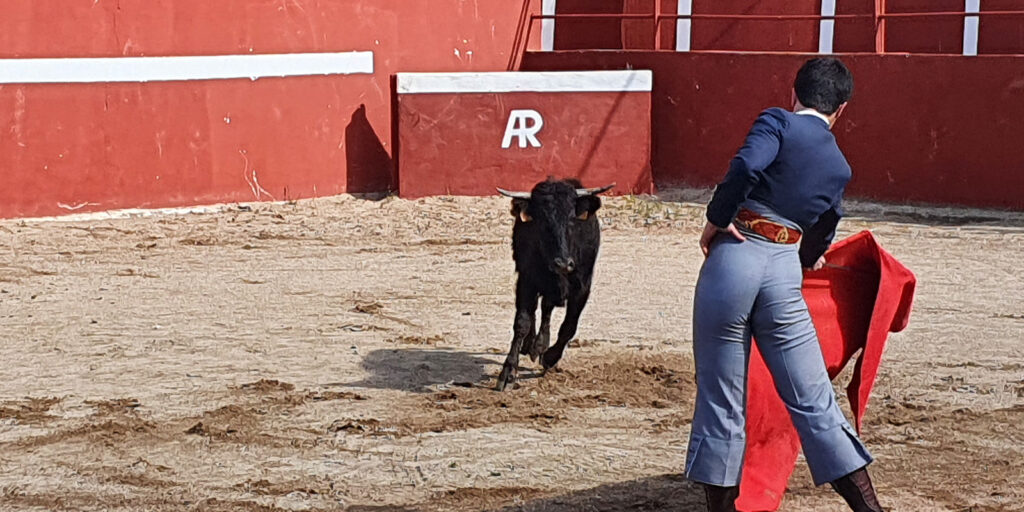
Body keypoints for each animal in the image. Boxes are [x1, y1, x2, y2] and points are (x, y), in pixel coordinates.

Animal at [493, 178, 610, 389]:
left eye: (572, 219)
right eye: (543, 222)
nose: (563, 264)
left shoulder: (582, 287)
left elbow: (569, 326)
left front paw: (549, 357)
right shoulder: (526, 280)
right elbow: (522, 322)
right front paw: (508, 373)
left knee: (547, 308)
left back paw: (540, 346)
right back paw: (531, 345)